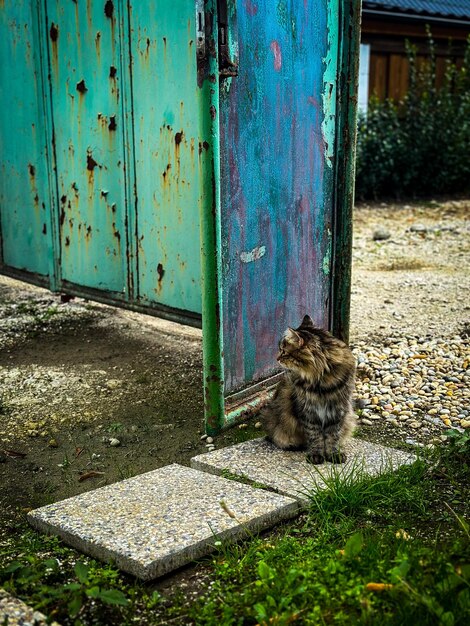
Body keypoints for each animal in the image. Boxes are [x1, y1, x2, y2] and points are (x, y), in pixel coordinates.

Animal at [260, 312, 356, 464]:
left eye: (283, 352)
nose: (277, 358)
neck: (321, 380)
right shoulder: (308, 411)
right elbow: (314, 436)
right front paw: (316, 455)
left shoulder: (338, 410)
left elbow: (333, 436)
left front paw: (333, 454)